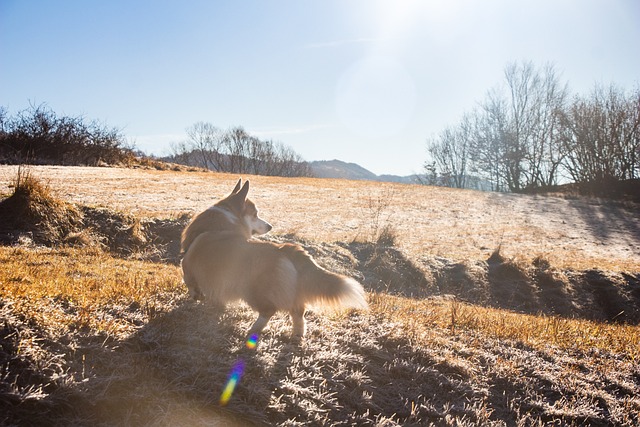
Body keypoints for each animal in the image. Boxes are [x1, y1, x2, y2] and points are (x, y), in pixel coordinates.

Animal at [180, 180, 370, 338]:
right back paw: (297, 335)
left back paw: (253, 330)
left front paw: (196, 296)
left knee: (269, 310)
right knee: (298, 312)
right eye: (255, 214)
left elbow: (189, 282)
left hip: (252, 291)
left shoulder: (188, 266)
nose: (270, 226)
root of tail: (288, 249)